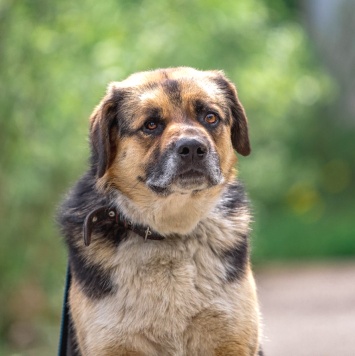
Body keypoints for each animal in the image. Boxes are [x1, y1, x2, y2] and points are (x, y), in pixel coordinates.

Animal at [58, 67, 262, 356]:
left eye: (210, 117)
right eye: (151, 125)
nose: (192, 148)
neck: (169, 233)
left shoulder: (231, 339)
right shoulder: (112, 345)